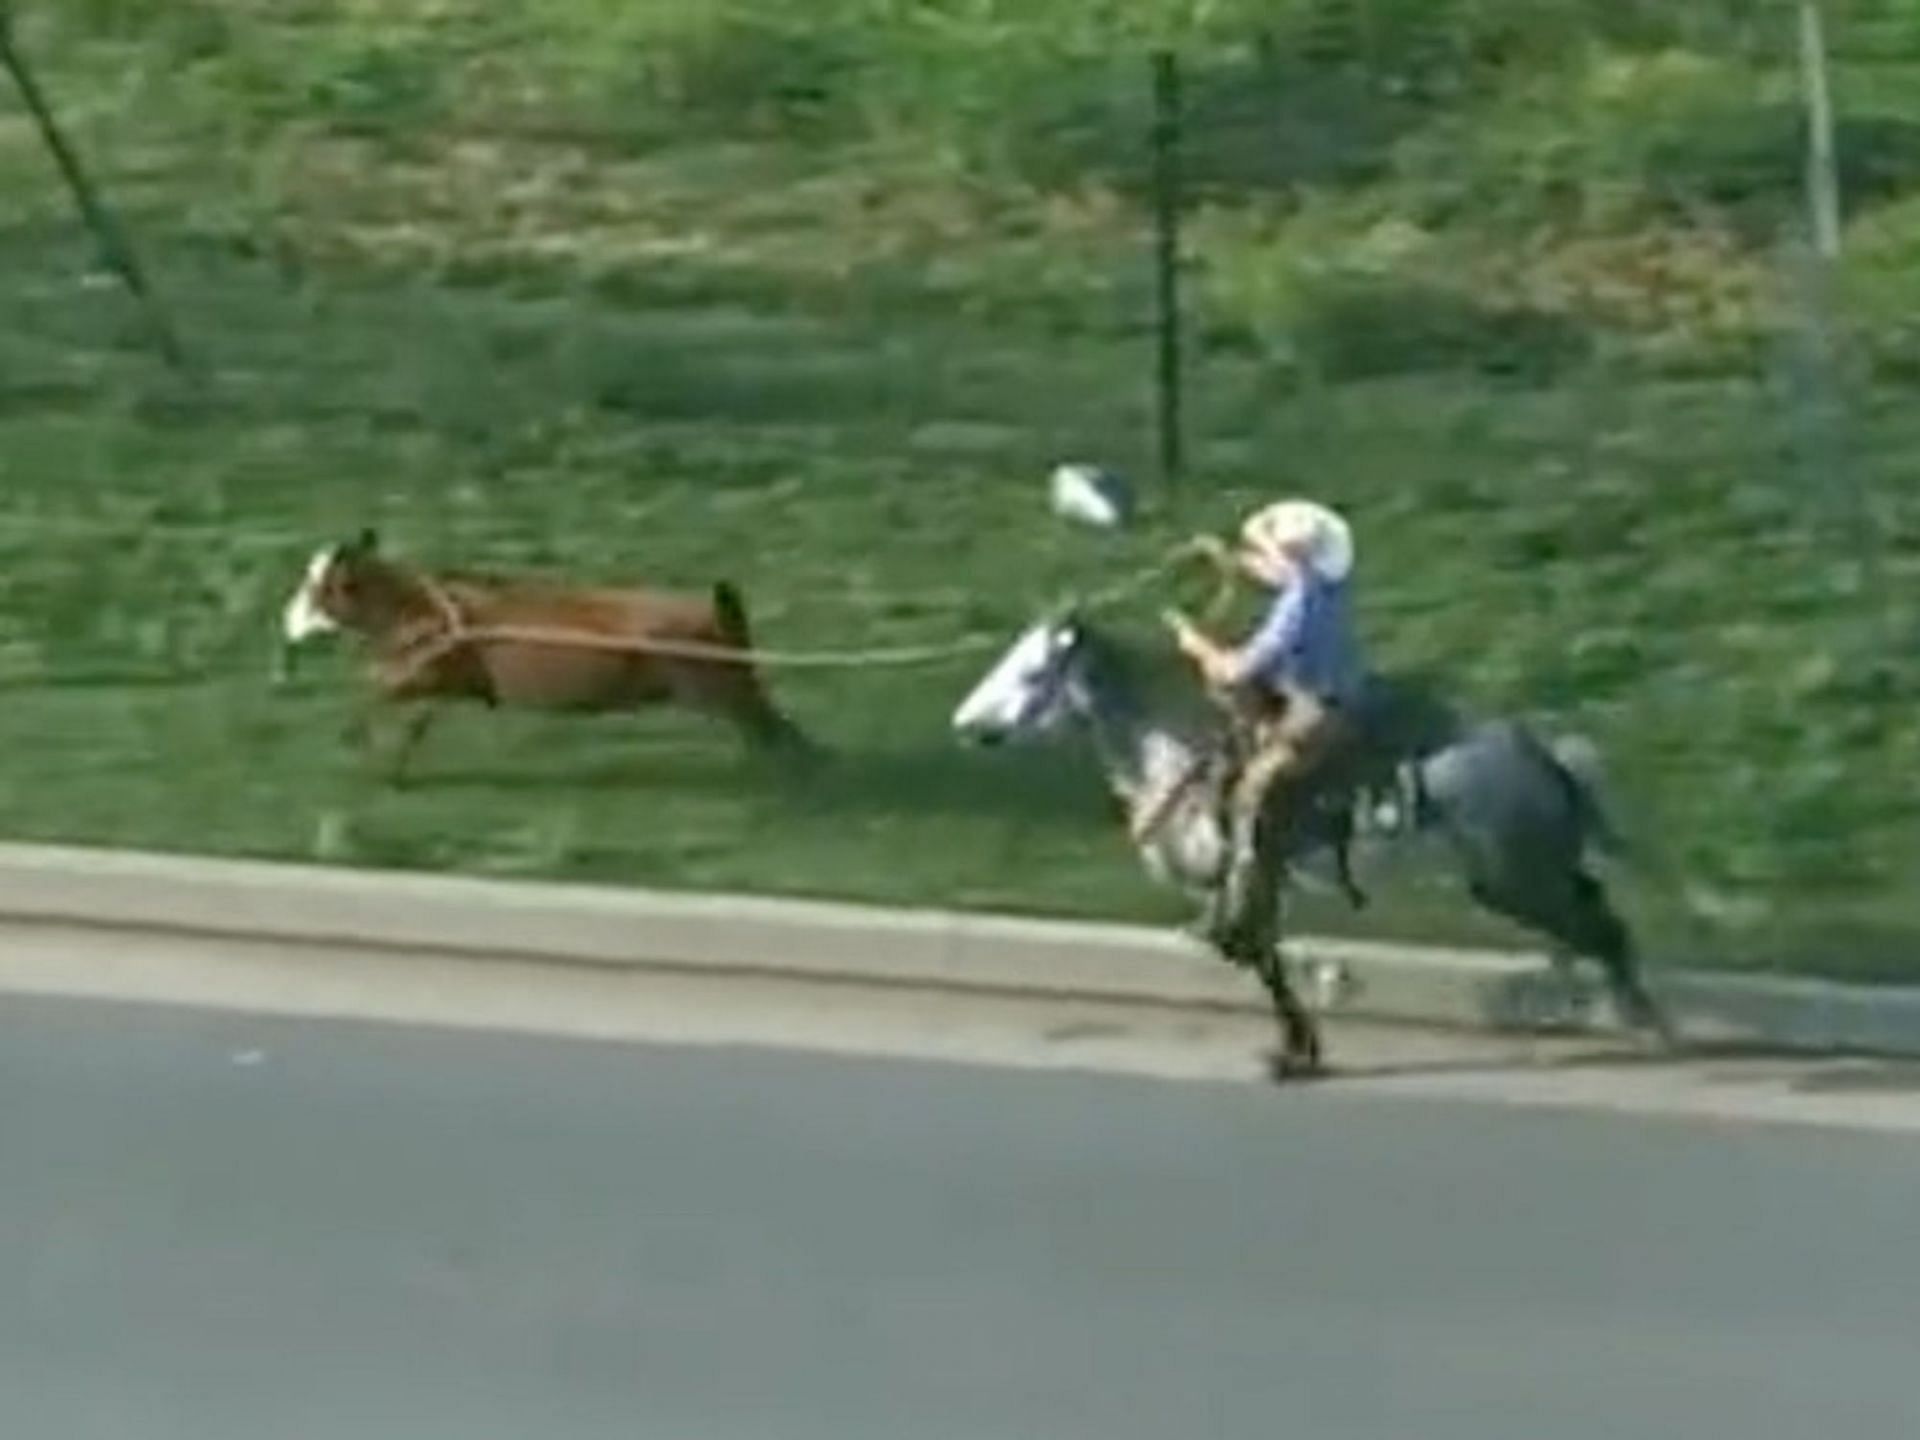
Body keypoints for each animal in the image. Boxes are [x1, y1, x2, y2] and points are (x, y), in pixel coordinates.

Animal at [280, 526, 810, 779]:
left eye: (318, 587)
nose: (287, 620)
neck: (418, 605)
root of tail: (718, 613)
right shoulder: (437, 687)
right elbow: (406, 721)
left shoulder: (425, 675)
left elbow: (374, 691)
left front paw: (353, 740)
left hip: (722, 691)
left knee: (776, 731)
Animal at [952, 610, 1674, 1059]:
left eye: (1031, 674)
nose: (969, 726)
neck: (1181, 753)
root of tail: (1544, 750)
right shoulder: (1247, 884)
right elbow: (1259, 955)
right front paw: (1299, 1046)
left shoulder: (1248, 871)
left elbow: (1256, 953)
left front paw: (1296, 1052)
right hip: (1534, 870)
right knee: (1595, 915)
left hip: (1513, 879)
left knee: (1601, 927)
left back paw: (1647, 1024)